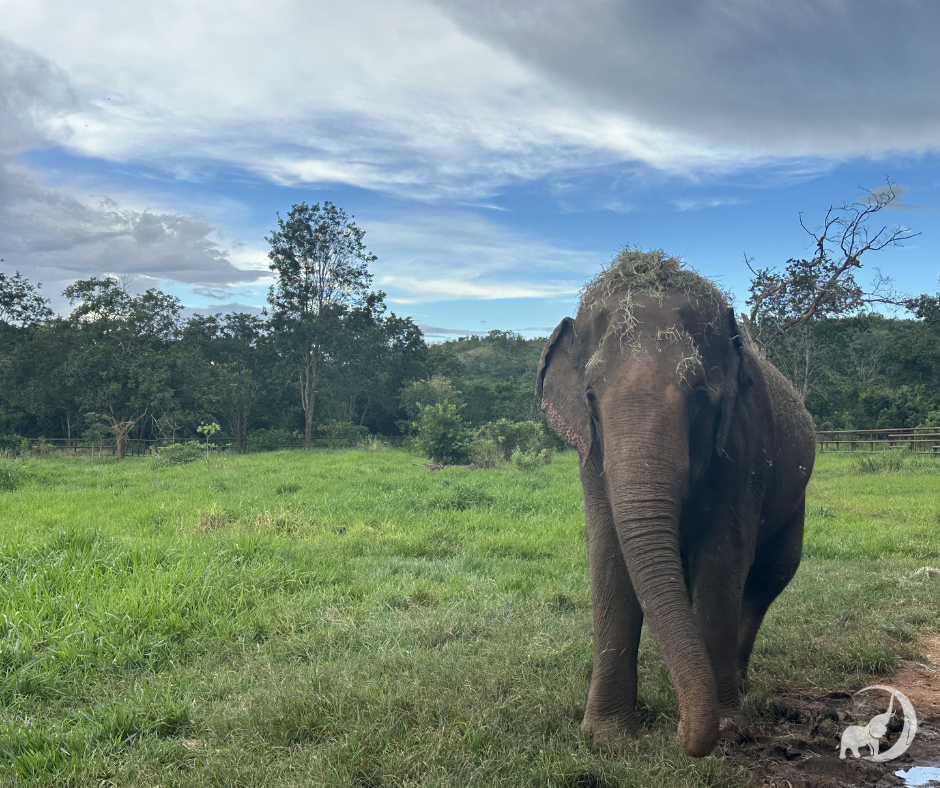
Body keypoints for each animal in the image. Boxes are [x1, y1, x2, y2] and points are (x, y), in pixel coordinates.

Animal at [537, 249, 815, 758]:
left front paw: (727, 731)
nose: (680, 733)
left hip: (795, 499)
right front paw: (606, 739)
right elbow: (609, 556)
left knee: (768, 577)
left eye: (700, 395)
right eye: (590, 397)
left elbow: (723, 560)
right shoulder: (591, 458)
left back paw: (740, 686)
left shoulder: (742, 449)